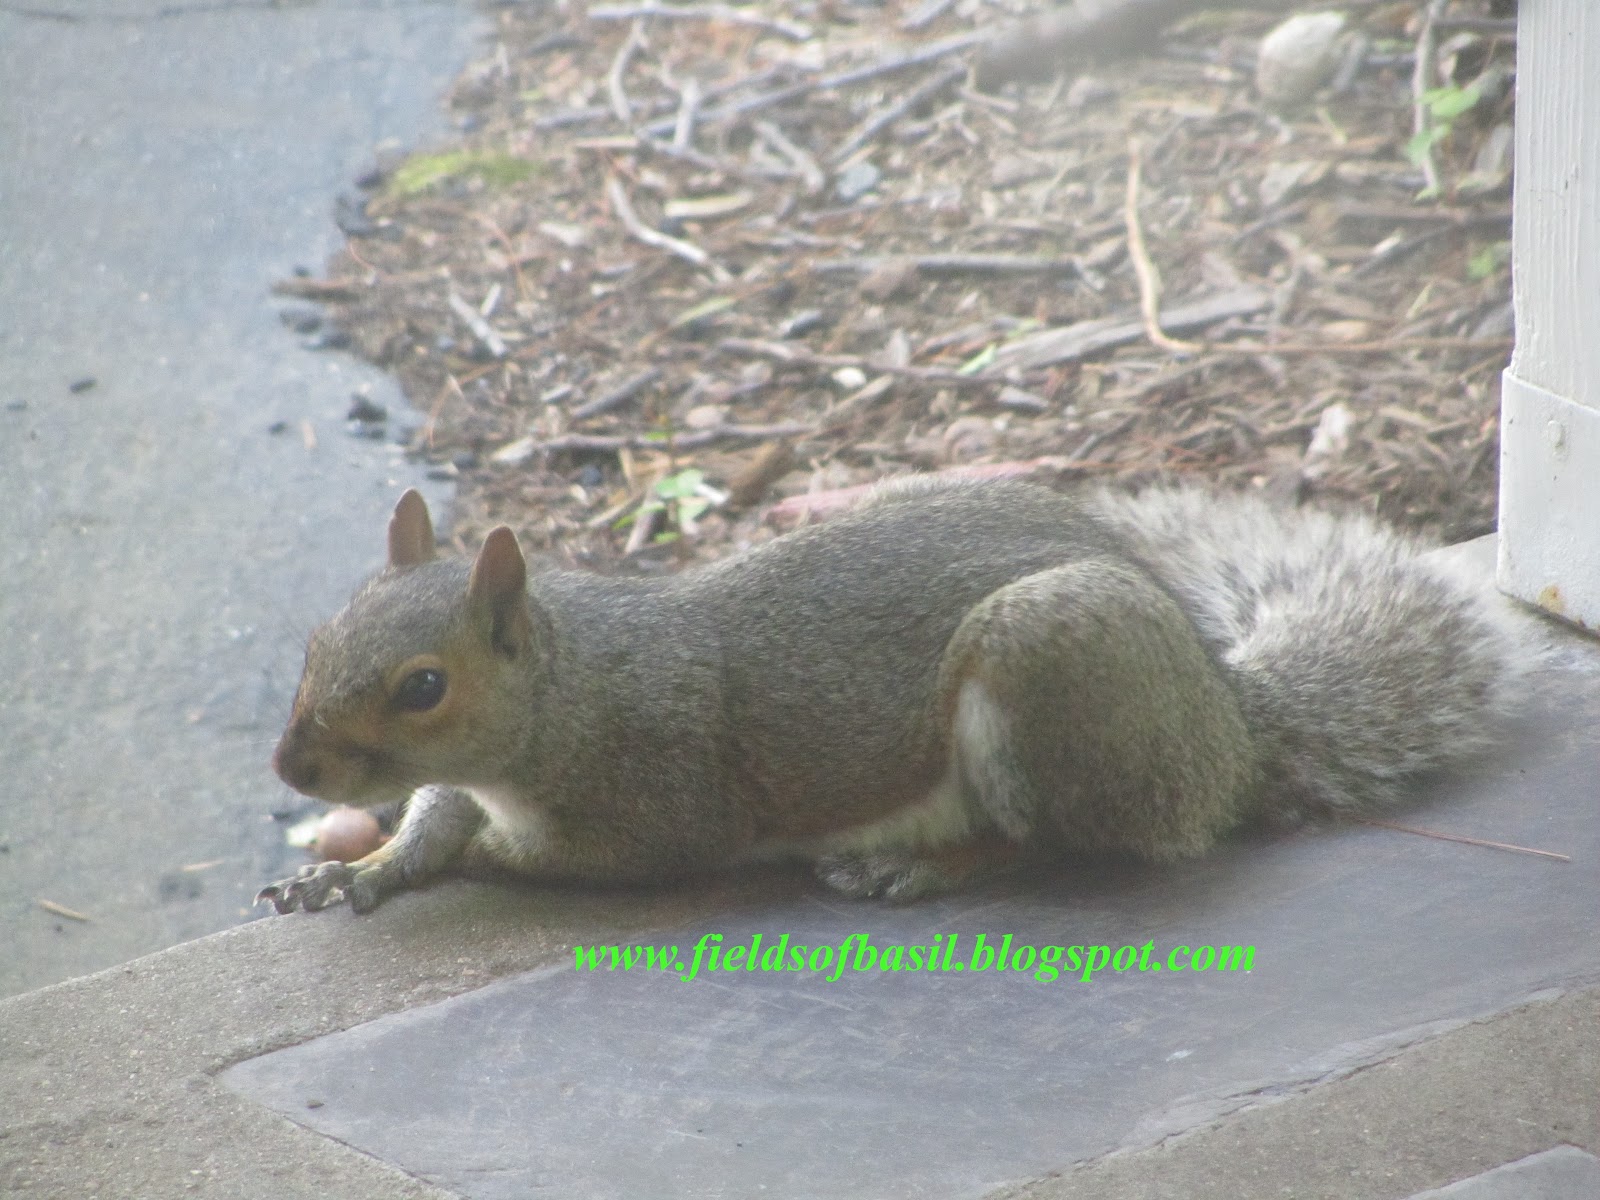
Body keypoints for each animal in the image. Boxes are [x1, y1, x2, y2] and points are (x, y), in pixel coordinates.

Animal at [259, 476, 1522, 915]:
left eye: (424, 687)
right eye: (320, 634)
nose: (291, 768)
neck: (568, 691)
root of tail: (1226, 729)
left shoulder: (658, 801)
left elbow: (551, 856)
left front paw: (454, 861)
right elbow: (434, 818)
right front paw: (363, 868)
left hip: (1054, 669)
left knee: (1058, 844)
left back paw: (919, 867)